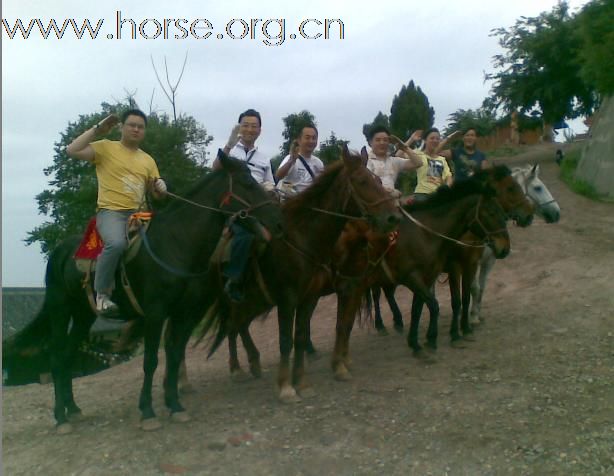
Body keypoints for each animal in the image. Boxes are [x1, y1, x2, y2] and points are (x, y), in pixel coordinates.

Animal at [3, 153, 284, 436]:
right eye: (248, 182)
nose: (277, 218)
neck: (176, 244)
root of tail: (60, 252)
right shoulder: (155, 314)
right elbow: (151, 361)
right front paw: (148, 412)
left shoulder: (184, 314)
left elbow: (174, 356)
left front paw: (175, 405)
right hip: (60, 309)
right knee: (58, 356)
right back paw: (61, 418)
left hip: (83, 315)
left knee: (70, 354)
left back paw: (73, 409)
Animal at [200, 145, 402, 402]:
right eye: (362, 181)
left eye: (376, 180)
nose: (393, 217)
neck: (303, 238)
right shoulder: (291, 298)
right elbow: (288, 340)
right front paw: (287, 387)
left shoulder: (319, 295)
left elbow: (312, 333)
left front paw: (307, 381)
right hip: (233, 299)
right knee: (230, 325)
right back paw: (234, 369)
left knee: (238, 325)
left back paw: (253, 363)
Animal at [472, 164, 564, 324]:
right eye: (538, 188)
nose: (557, 213)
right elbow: (473, 289)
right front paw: (471, 318)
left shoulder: (488, 261)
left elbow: (481, 288)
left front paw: (476, 314)